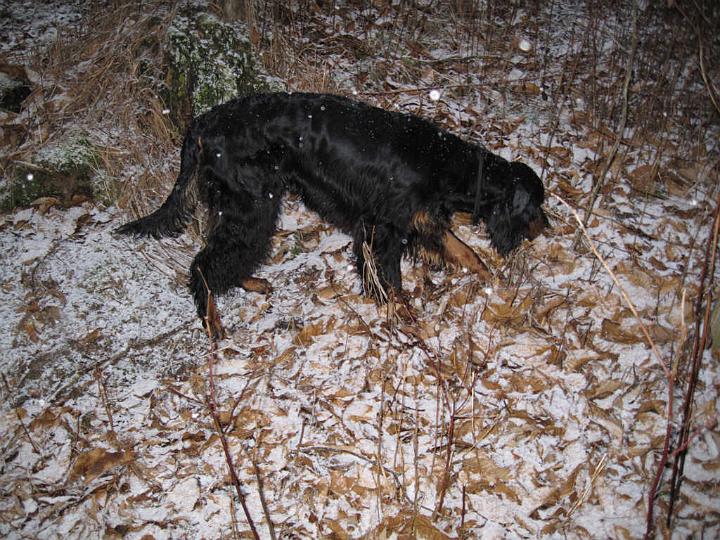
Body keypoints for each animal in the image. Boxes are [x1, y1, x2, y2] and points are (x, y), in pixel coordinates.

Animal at [118, 90, 544, 332]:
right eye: (537, 206)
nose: (547, 227)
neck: (444, 162)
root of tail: (203, 124)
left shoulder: (418, 219)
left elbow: (465, 251)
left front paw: (494, 280)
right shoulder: (382, 229)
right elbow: (392, 283)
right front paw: (406, 320)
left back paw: (251, 284)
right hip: (252, 205)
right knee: (204, 264)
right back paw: (213, 324)